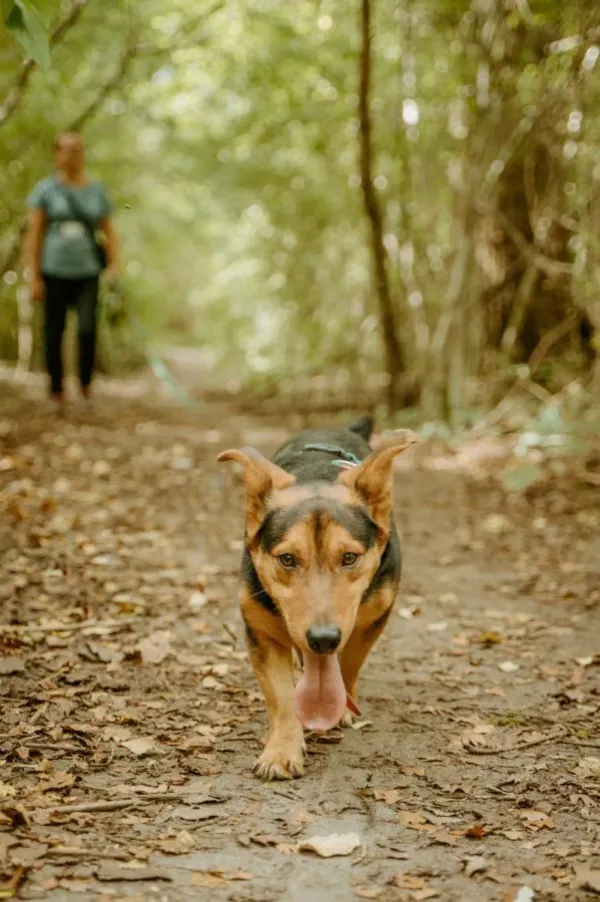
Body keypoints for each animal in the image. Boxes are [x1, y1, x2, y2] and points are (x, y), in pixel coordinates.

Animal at [218, 416, 420, 776]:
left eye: (349, 558)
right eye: (287, 559)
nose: (323, 639)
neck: (316, 475)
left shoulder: (373, 618)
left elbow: (350, 664)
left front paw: (342, 708)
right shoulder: (261, 632)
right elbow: (282, 698)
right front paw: (281, 750)